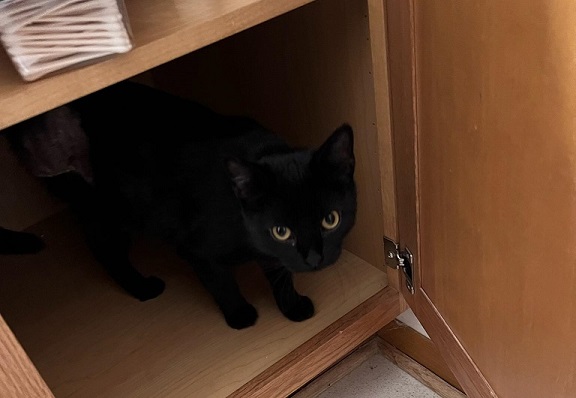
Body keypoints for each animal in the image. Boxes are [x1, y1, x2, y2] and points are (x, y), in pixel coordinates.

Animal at [53, 81, 356, 330]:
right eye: (281, 231)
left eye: (331, 219)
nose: (314, 259)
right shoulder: (196, 249)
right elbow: (221, 282)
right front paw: (240, 315)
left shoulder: (267, 247)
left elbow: (276, 269)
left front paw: (291, 305)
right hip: (106, 210)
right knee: (104, 249)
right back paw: (142, 287)